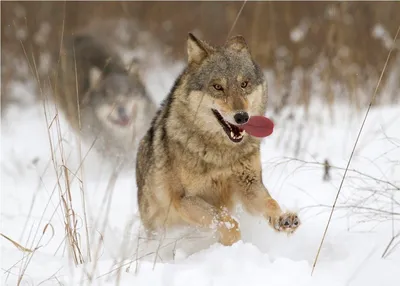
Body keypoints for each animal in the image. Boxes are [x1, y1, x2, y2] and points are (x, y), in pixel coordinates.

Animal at [136, 32, 298, 245]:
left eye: (244, 84)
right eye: (218, 87)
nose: (242, 116)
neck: (221, 155)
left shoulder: (250, 186)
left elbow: (270, 202)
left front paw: (283, 219)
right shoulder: (185, 199)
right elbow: (226, 220)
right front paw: (233, 243)